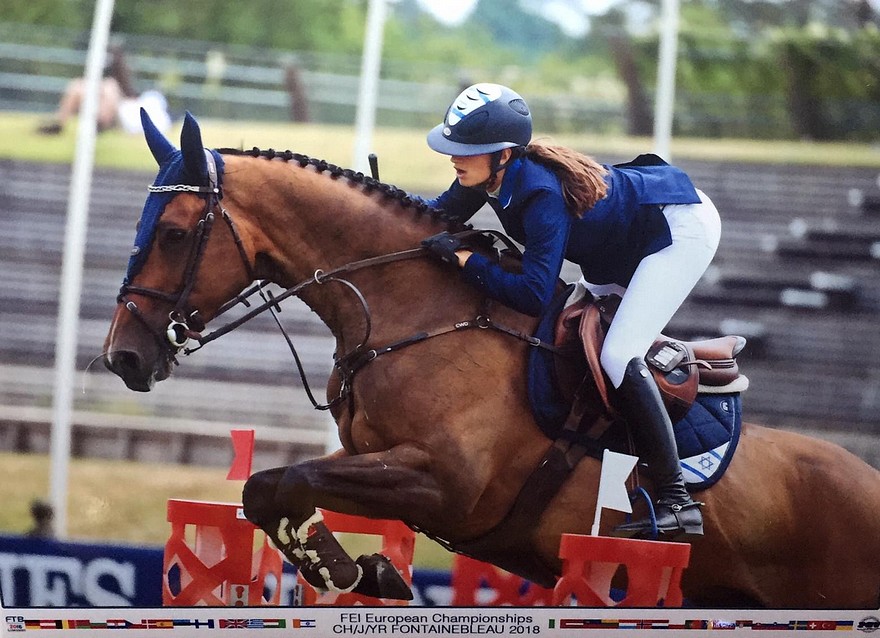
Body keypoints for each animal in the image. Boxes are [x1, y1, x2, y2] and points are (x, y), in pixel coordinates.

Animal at [105, 111, 880, 608]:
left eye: (174, 233)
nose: (123, 358)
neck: (411, 312)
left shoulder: (443, 482)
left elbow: (281, 481)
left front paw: (356, 574)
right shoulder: (372, 460)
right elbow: (270, 487)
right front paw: (361, 572)